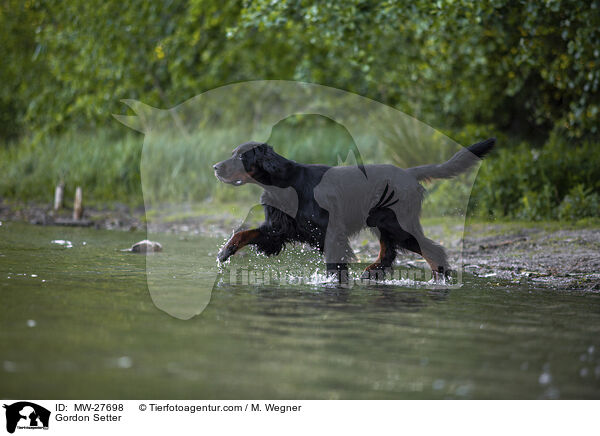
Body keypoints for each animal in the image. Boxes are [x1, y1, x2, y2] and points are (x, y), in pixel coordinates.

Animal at [213, 138, 494, 278]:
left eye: (242, 156)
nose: (215, 167)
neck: (285, 184)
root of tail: (409, 173)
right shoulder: (278, 229)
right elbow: (244, 233)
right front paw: (225, 251)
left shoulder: (331, 233)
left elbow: (334, 263)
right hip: (383, 223)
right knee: (389, 252)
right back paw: (373, 273)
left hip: (397, 224)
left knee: (432, 249)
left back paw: (441, 276)